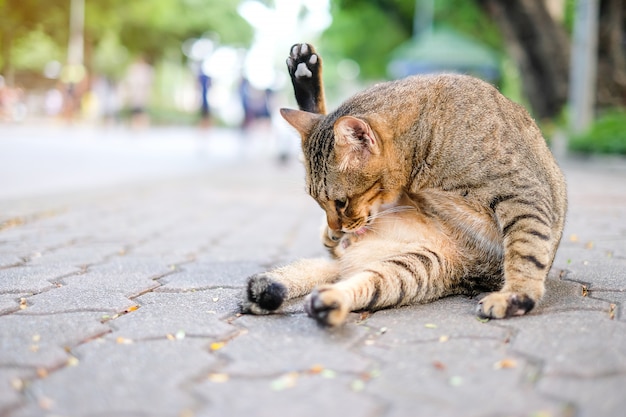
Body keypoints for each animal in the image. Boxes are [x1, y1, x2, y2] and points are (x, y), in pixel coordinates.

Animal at [239, 42, 564, 324]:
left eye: (340, 202)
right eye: (319, 203)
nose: (337, 227)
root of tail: (348, 263)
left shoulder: (521, 195)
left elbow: (526, 251)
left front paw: (517, 296)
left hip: (414, 269)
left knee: (358, 282)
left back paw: (328, 297)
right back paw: (304, 71)